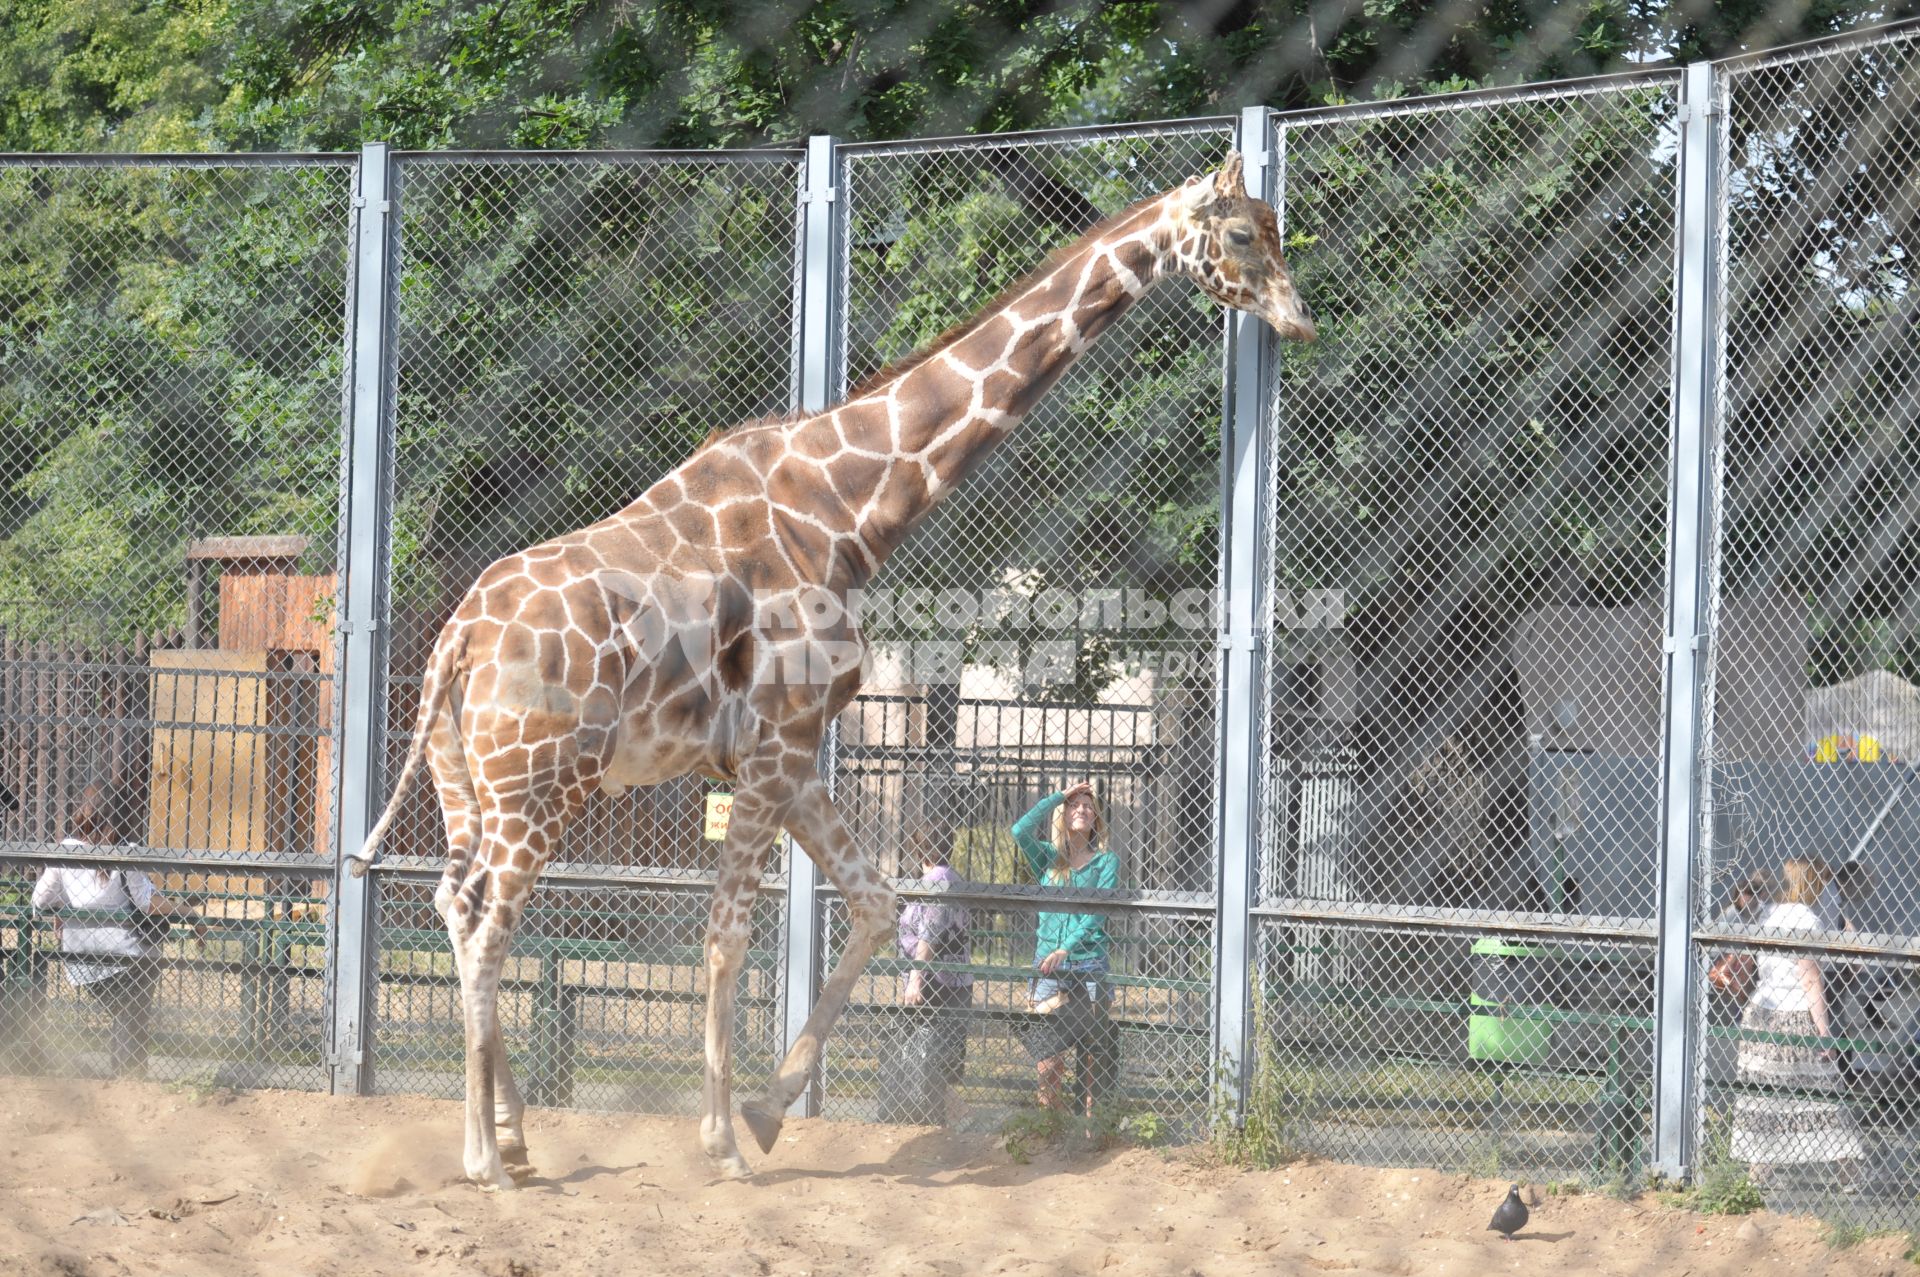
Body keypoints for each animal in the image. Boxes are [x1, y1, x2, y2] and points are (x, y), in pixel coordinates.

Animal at [345, 151, 1313, 1182]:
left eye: (1275, 226)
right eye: (1243, 232)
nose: (1299, 316)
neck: (850, 505)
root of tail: (456, 640)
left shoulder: (792, 754)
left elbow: (878, 906)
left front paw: (768, 1113)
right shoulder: (773, 747)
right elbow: (729, 937)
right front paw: (724, 1141)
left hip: (466, 780)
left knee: (455, 904)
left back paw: (518, 1136)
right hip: (542, 783)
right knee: (490, 923)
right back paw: (484, 1156)